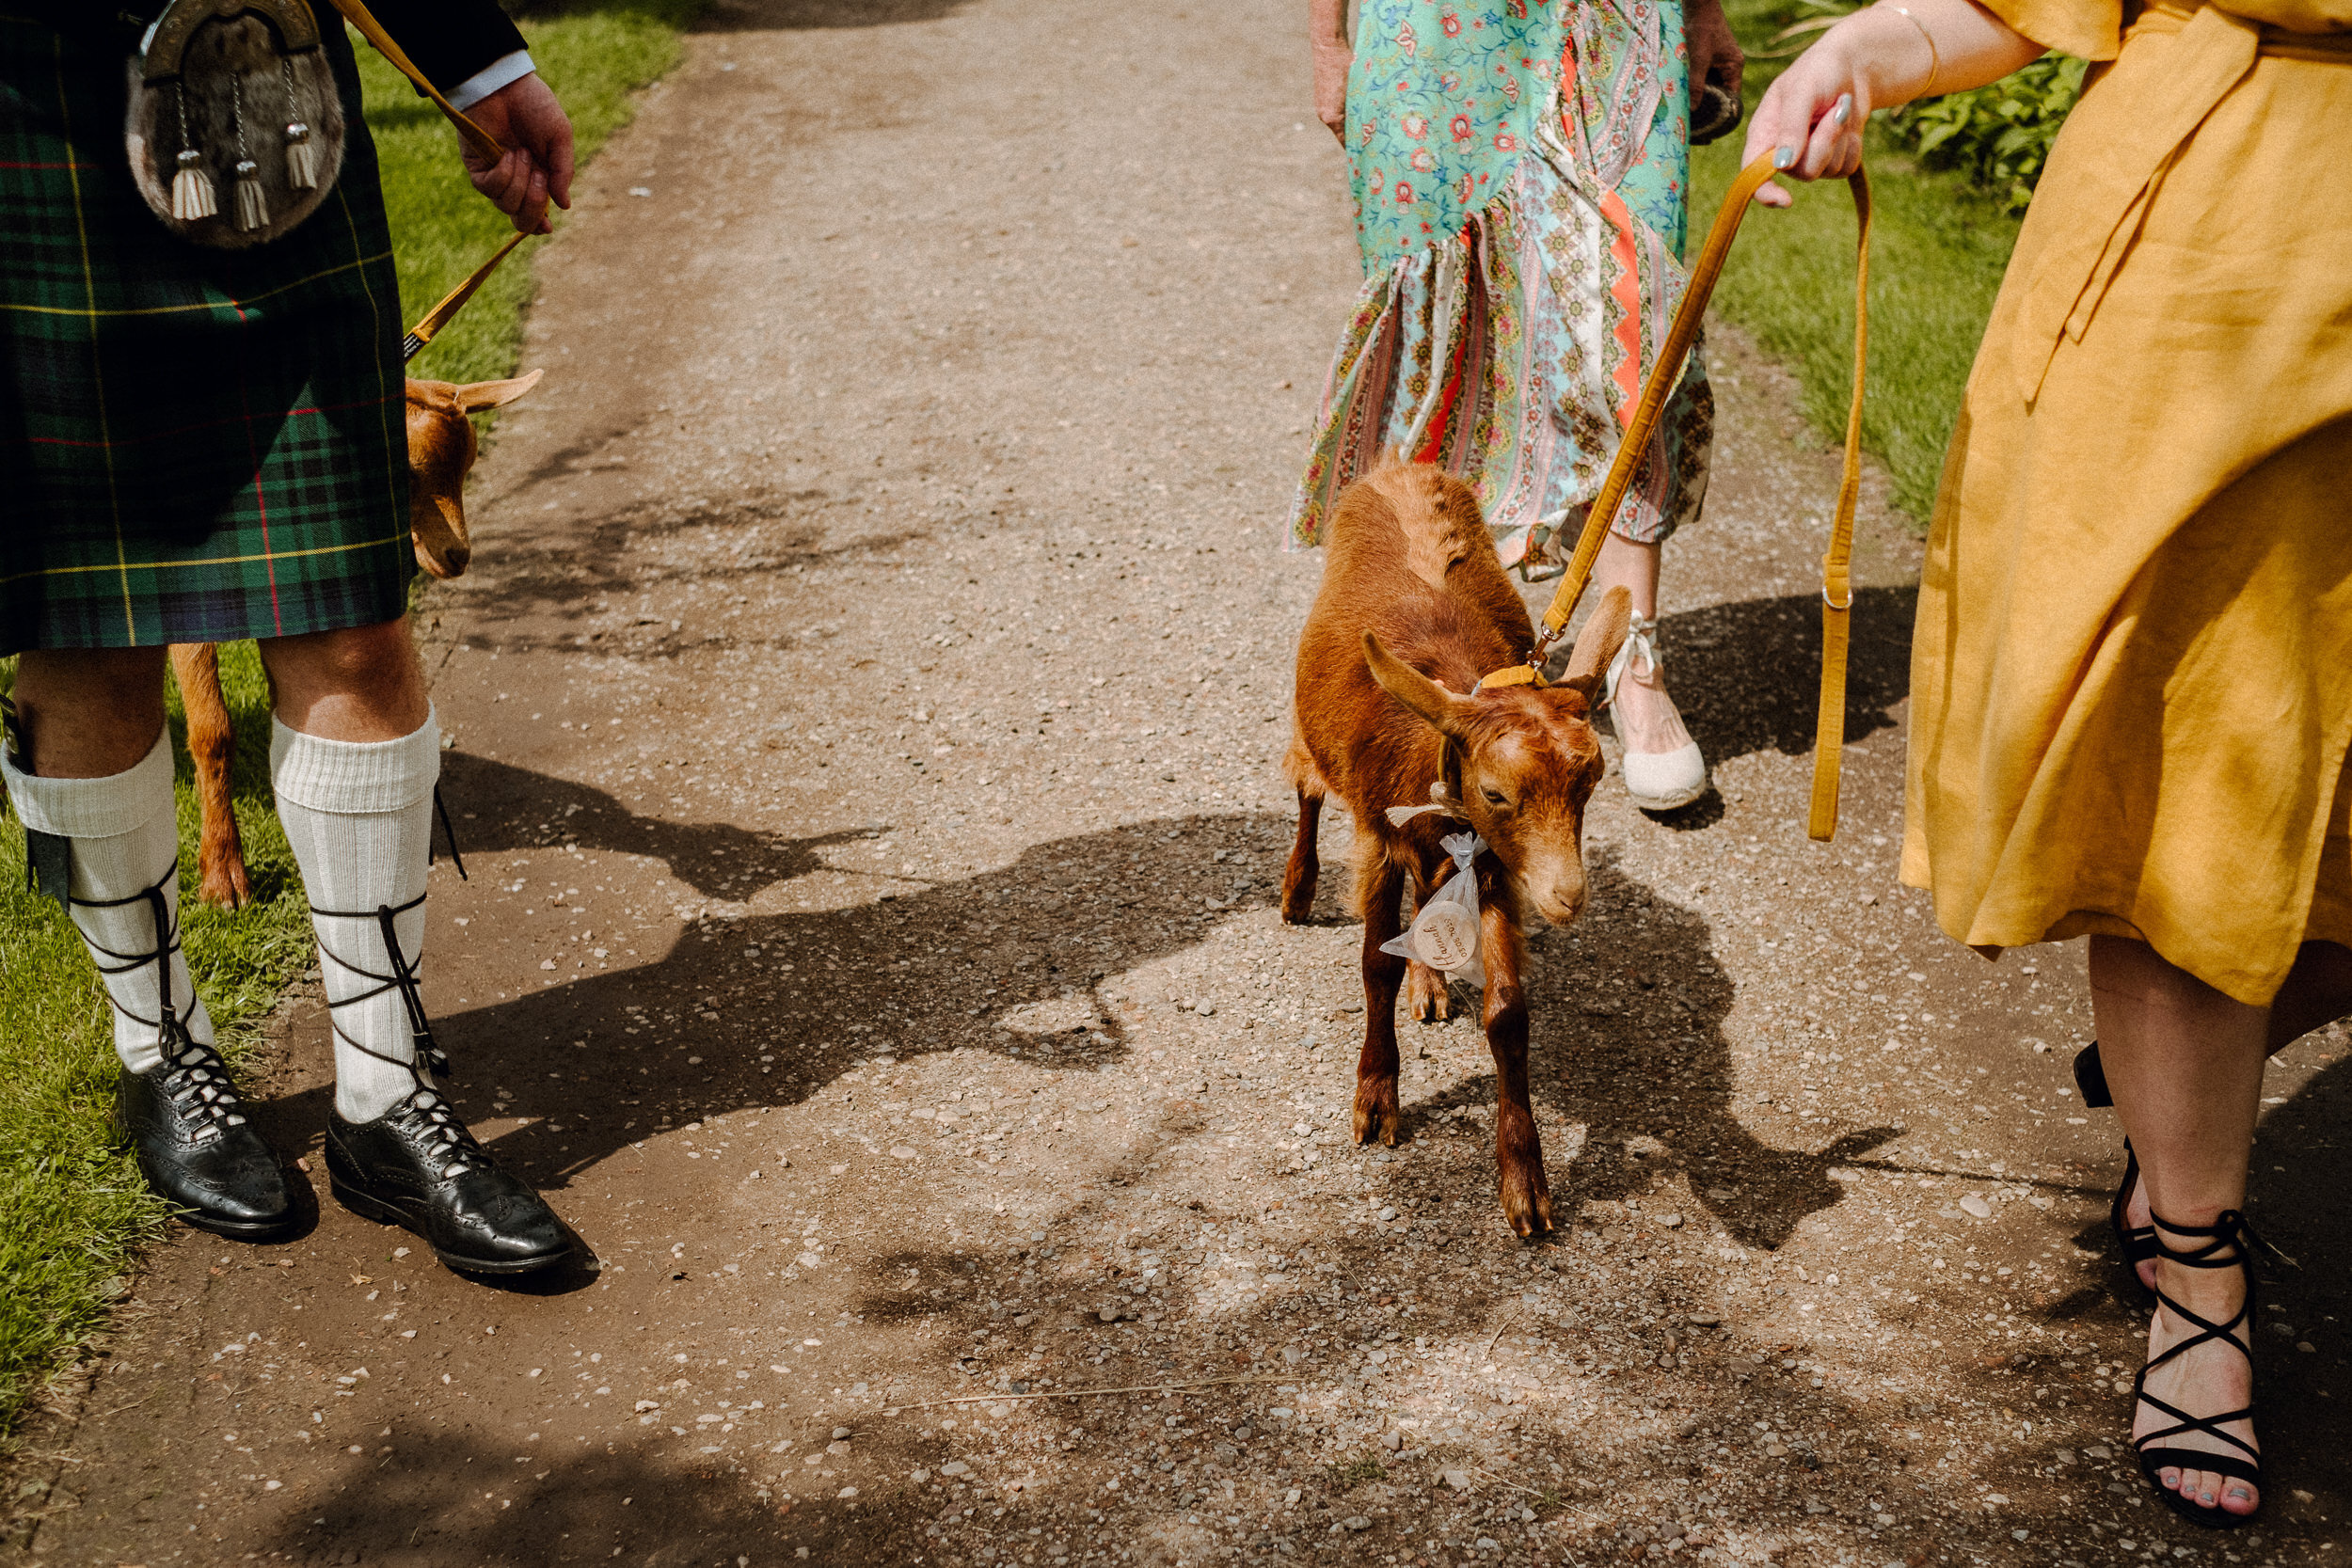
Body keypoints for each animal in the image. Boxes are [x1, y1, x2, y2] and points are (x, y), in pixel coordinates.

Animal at [1289, 460, 1637, 1241]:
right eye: (1498, 791)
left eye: (1592, 780)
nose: (1569, 894)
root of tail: (1400, 466)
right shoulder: (1379, 837)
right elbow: (1374, 965)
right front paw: (1376, 1098)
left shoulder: (1499, 866)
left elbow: (1507, 1010)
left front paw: (1525, 1183)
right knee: (1305, 784)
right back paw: (1297, 888)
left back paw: (1432, 979)